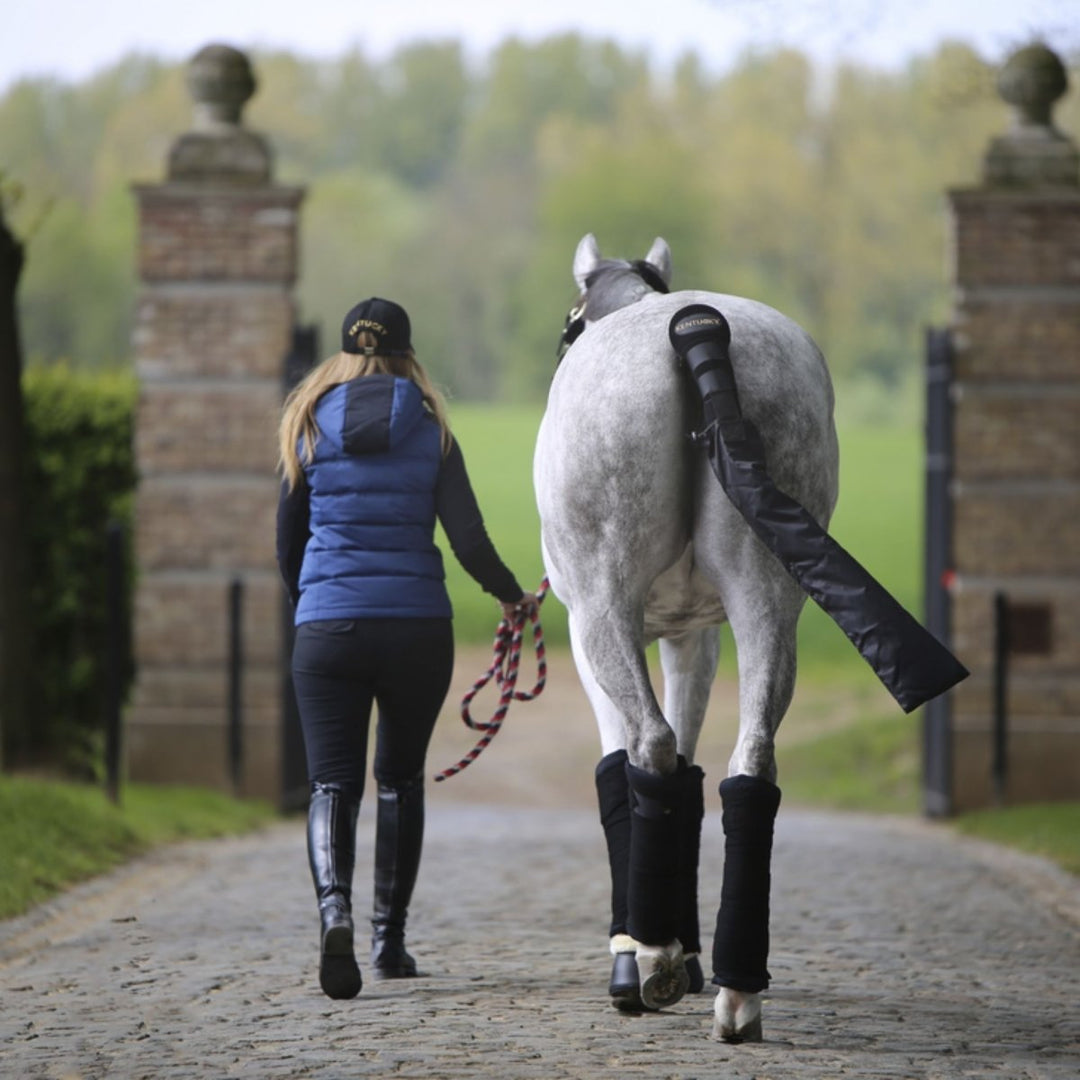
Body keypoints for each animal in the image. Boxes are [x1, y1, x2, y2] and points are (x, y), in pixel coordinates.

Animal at [535, 234, 838, 1036]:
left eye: (567, 325)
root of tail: (697, 333)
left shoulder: (594, 633)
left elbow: (626, 767)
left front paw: (638, 951)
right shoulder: (694, 637)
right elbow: (693, 774)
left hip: (604, 610)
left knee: (650, 747)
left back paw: (653, 957)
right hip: (768, 599)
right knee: (748, 764)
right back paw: (736, 992)